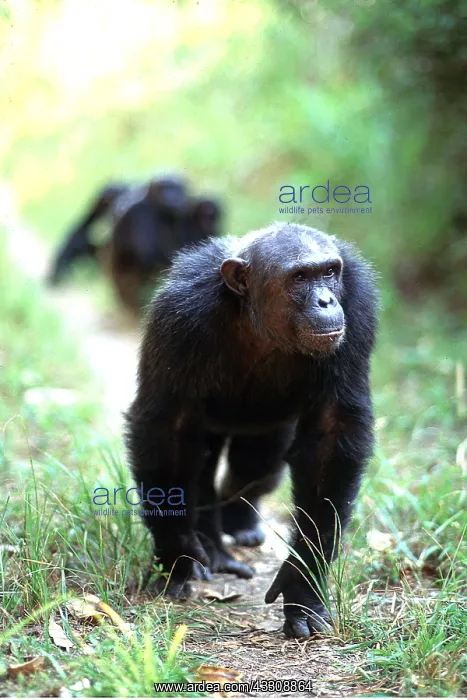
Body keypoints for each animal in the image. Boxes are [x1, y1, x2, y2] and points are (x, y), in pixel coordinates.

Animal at [125, 222, 378, 638]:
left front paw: (303, 582)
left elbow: (331, 432)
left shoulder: (358, 307)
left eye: (329, 272)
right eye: (300, 277)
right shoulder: (178, 318)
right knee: (201, 460)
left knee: (256, 464)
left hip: (267, 432)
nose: (326, 300)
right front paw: (177, 554)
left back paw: (239, 523)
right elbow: (168, 428)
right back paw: (212, 548)